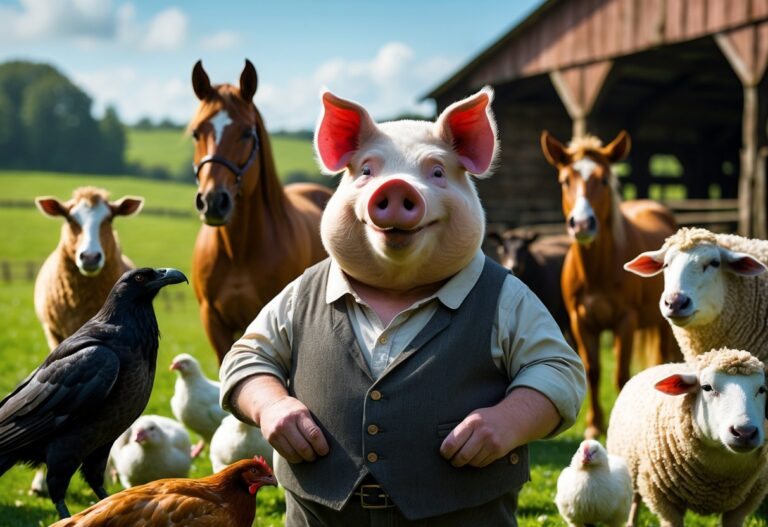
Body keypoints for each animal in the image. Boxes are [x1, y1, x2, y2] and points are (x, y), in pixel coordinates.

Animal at [219, 87, 586, 526]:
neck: (396, 292)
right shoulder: (287, 297)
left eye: (437, 172)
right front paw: (299, 433)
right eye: (366, 171)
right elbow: (249, 354)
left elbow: (555, 371)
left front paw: (467, 441)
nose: (394, 187)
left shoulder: (523, 305)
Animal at [540, 130, 680, 438]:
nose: (582, 224)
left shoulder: (625, 321)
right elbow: (593, 371)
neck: (596, 271)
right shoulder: (580, 322)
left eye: (604, 180)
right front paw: (594, 425)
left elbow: (620, 374)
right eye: (565, 180)